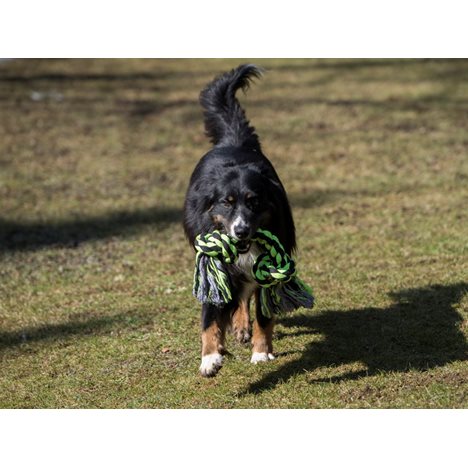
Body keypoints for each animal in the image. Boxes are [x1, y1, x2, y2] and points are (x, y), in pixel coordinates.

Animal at [184, 64, 296, 376]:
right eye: (227, 202)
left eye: (254, 202)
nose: (242, 231)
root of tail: (232, 141)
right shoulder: (214, 268)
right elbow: (210, 319)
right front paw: (210, 357)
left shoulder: (269, 268)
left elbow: (264, 316)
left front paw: (261, 352)